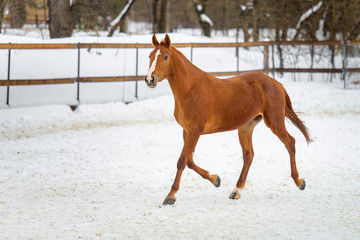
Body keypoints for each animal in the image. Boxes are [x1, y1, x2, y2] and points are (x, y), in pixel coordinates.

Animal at [143, 34, 310, 206]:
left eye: (165, 57)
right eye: (150, 55)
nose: (150, 79)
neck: (191, 89)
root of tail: (276, 83)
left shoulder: (195, 131)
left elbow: (182, 160)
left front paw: (171, 195)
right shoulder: (187, 130)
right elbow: (189, 161)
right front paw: (215, 179)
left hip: (274, 122)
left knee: (290, 142)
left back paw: (299, 181)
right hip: (246, 127)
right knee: (248, 155)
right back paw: (236, 190)